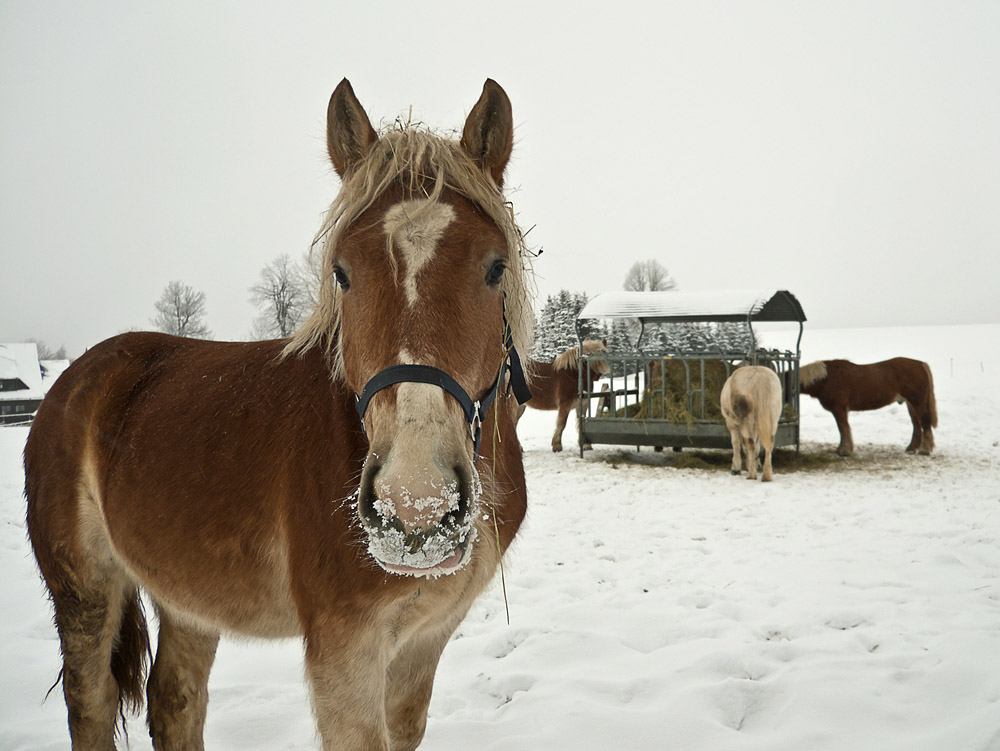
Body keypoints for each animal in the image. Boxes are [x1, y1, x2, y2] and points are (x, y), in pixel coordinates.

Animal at [23, 78, 536, 751]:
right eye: (342, 273)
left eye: (495, 266)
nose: (414, 507)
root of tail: (74, 381)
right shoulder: (343, 651)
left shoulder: (424, 642)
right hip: (84, 592)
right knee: (92, 704)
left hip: (187, 597)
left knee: (174, 700)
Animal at [796, 358, 936, 458]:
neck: (827, 379)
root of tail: (921, 364)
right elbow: (842, 430)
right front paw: (841, 449)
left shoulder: (839, 409)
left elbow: (843, 428)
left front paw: (845, 451)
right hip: (910, 404)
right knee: (916, 425)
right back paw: (912, 448)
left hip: (917, 403)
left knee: (925, 423)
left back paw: (924, 450)